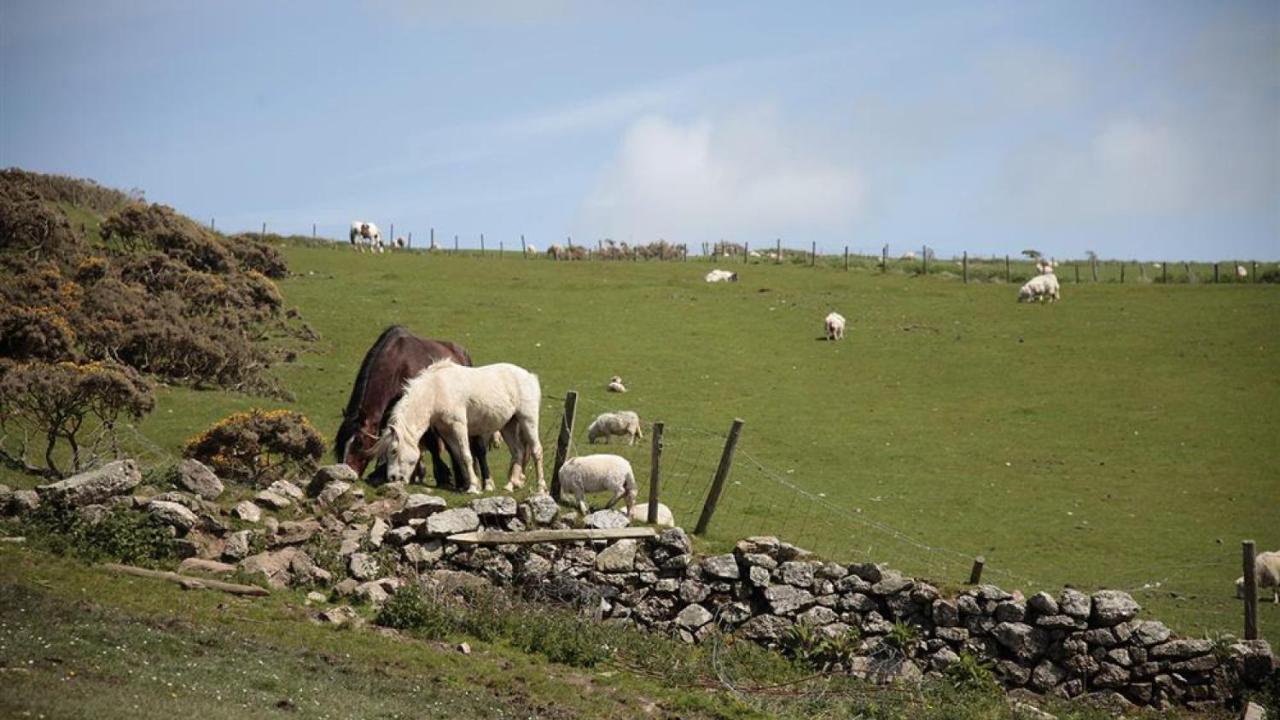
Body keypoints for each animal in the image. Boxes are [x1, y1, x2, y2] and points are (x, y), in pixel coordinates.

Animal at [335, 325, 488, 486]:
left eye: (359, 442)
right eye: (340, 444)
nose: (346, 473)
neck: (398, 364)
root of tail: (462, 352)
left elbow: (432, 443)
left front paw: (442, 477)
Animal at [373, 356, 545, 489]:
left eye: (394, 451)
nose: (392, 478)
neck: (436, 390)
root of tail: (530, 376)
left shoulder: (459, 426)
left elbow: (466, 455)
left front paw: (473, 487)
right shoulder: (446, 431)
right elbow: (457, 456)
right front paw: (470, 484)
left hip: (528, 419)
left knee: (536, 450)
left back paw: (541, 488)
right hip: (508, 425)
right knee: (518, 452)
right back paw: (510, 485)